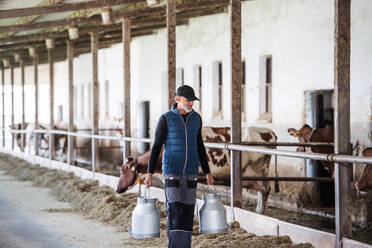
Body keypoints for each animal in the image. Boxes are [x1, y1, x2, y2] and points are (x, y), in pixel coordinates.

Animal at [117, 127, 278, 214]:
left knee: (265, 189)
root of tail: (269, 131)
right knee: (261, 190)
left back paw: (260, 212)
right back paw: (258, 211)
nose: (117, 189)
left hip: (259, 168)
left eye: (124, 171)